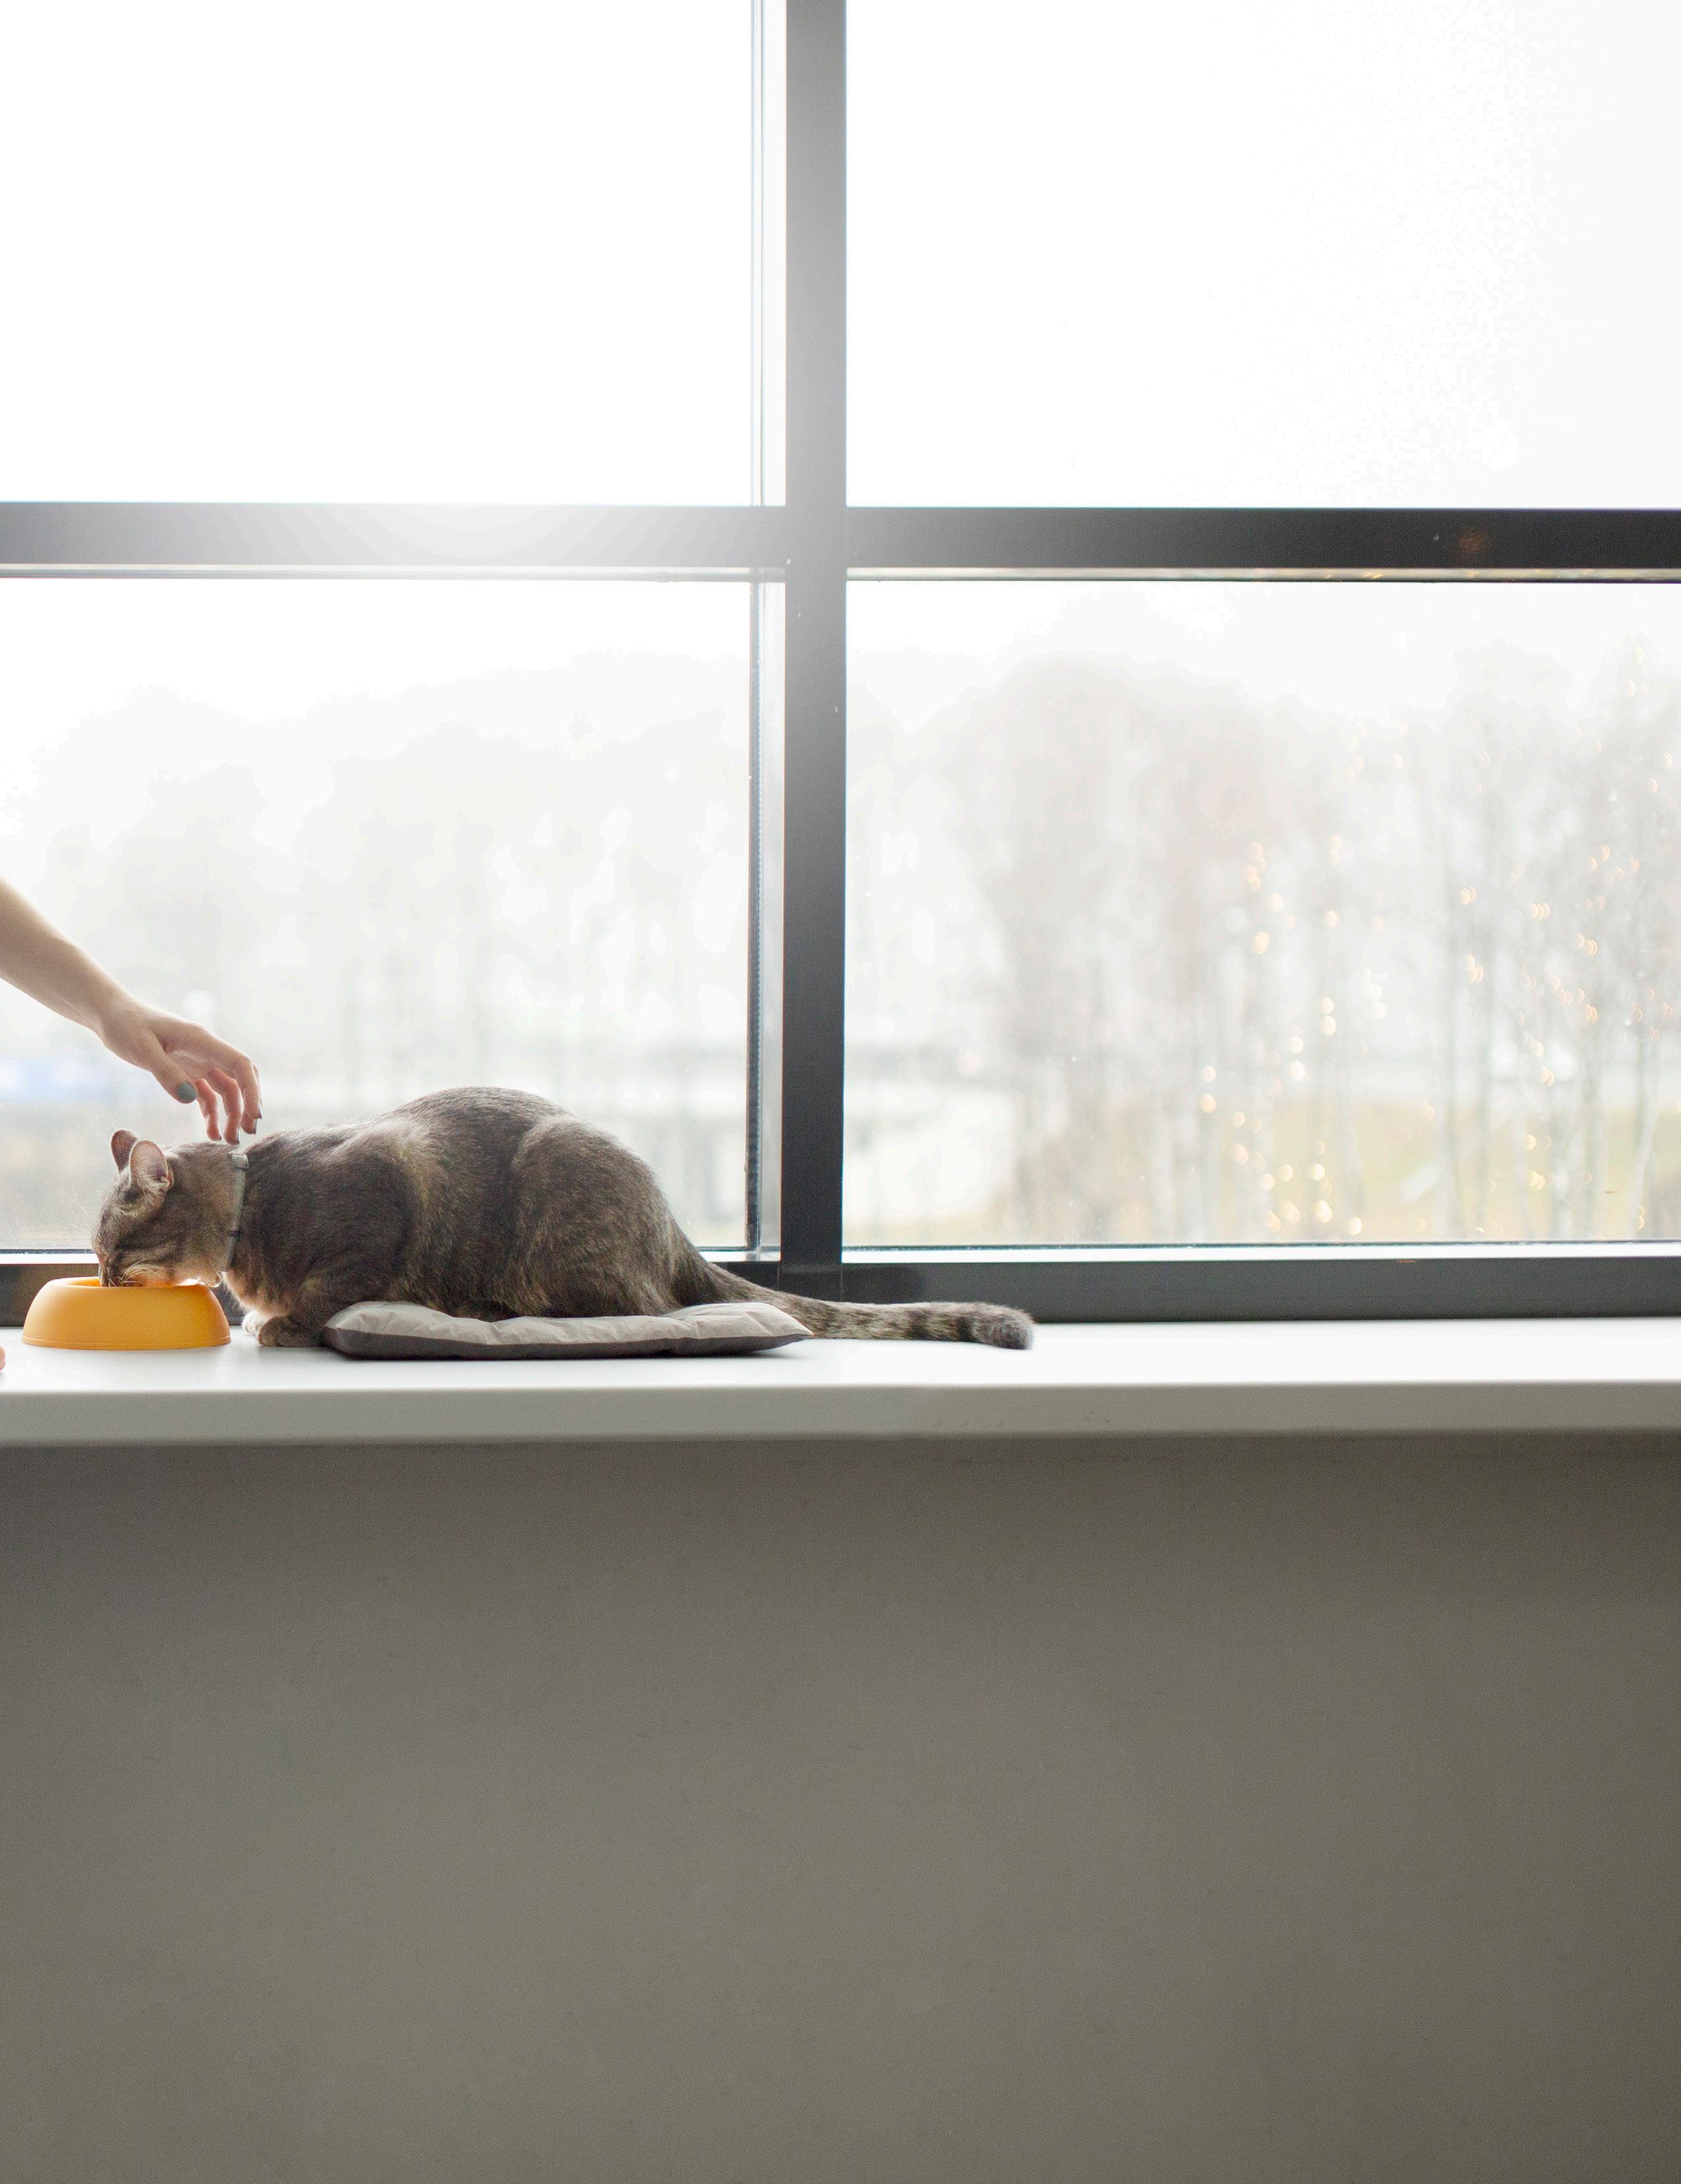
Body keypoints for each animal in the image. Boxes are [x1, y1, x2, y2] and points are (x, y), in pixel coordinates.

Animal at [93, 1086, 1033, 1350]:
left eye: (111, 1248)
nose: (97, 1280)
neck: (252, 1209)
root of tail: (671, 1222)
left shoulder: (388, 1189)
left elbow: (330, 1289)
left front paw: (281, 1322)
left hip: (560, 1192)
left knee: (640, 1307)